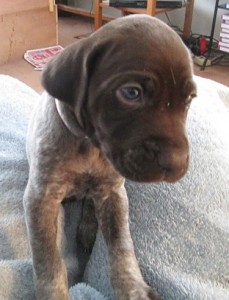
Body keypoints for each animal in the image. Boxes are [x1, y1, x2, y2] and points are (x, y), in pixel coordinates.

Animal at [23, 14, 197, 300]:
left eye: (190, 99)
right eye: (131, 93)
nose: (177, 164)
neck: (90, 147)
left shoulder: (114, 194)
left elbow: (122, 247)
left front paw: (133, 287)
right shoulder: (42, 199)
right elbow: (48, 261)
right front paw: (53, 293)